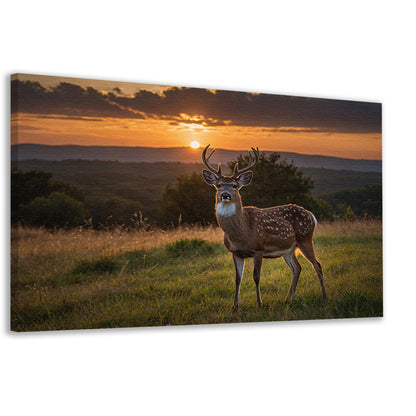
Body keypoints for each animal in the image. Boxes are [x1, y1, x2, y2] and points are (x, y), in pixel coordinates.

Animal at [202, 145, 328, 310]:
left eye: (235, 186)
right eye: (218, 185)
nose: (225, 195)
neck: (241, 234)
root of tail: (311, 215)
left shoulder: (258, 249)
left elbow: (256, 276)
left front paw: (259, 304)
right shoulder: (235, 252)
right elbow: (237, 278)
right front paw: (235, 307)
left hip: (306, 238)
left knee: (317, 265)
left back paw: (325, 297)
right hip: (289, 248)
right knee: (297, 268)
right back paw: (288, 299)